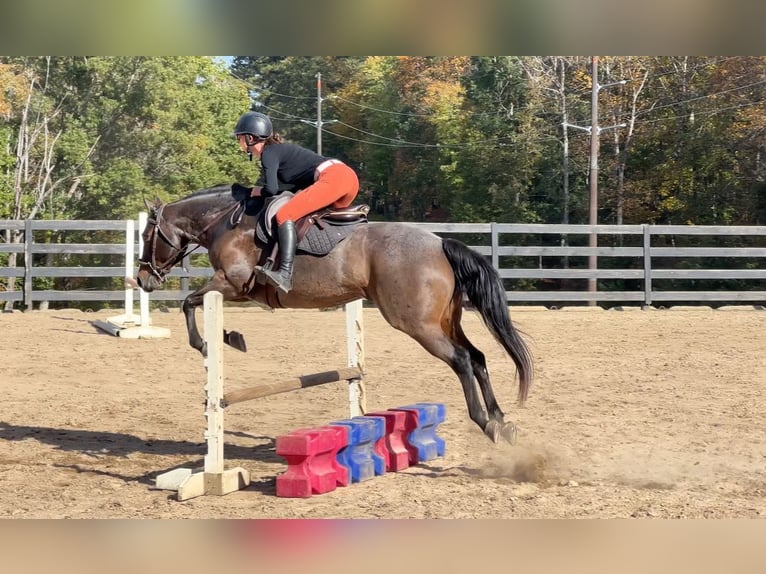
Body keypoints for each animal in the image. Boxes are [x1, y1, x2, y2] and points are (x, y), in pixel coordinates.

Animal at [135, 184, 536, 446]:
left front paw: (219, 341)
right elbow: (191, 303)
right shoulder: (230, 288)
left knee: (462, 360)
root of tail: (440, 243)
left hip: (418, 324)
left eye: (146, 235)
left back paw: (485, 423)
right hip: (444, 320)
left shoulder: (231, 284)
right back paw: (503, 422)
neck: (225, 221)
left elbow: (189, 303)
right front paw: (227, 339)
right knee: (477, 357)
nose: (142, 279)